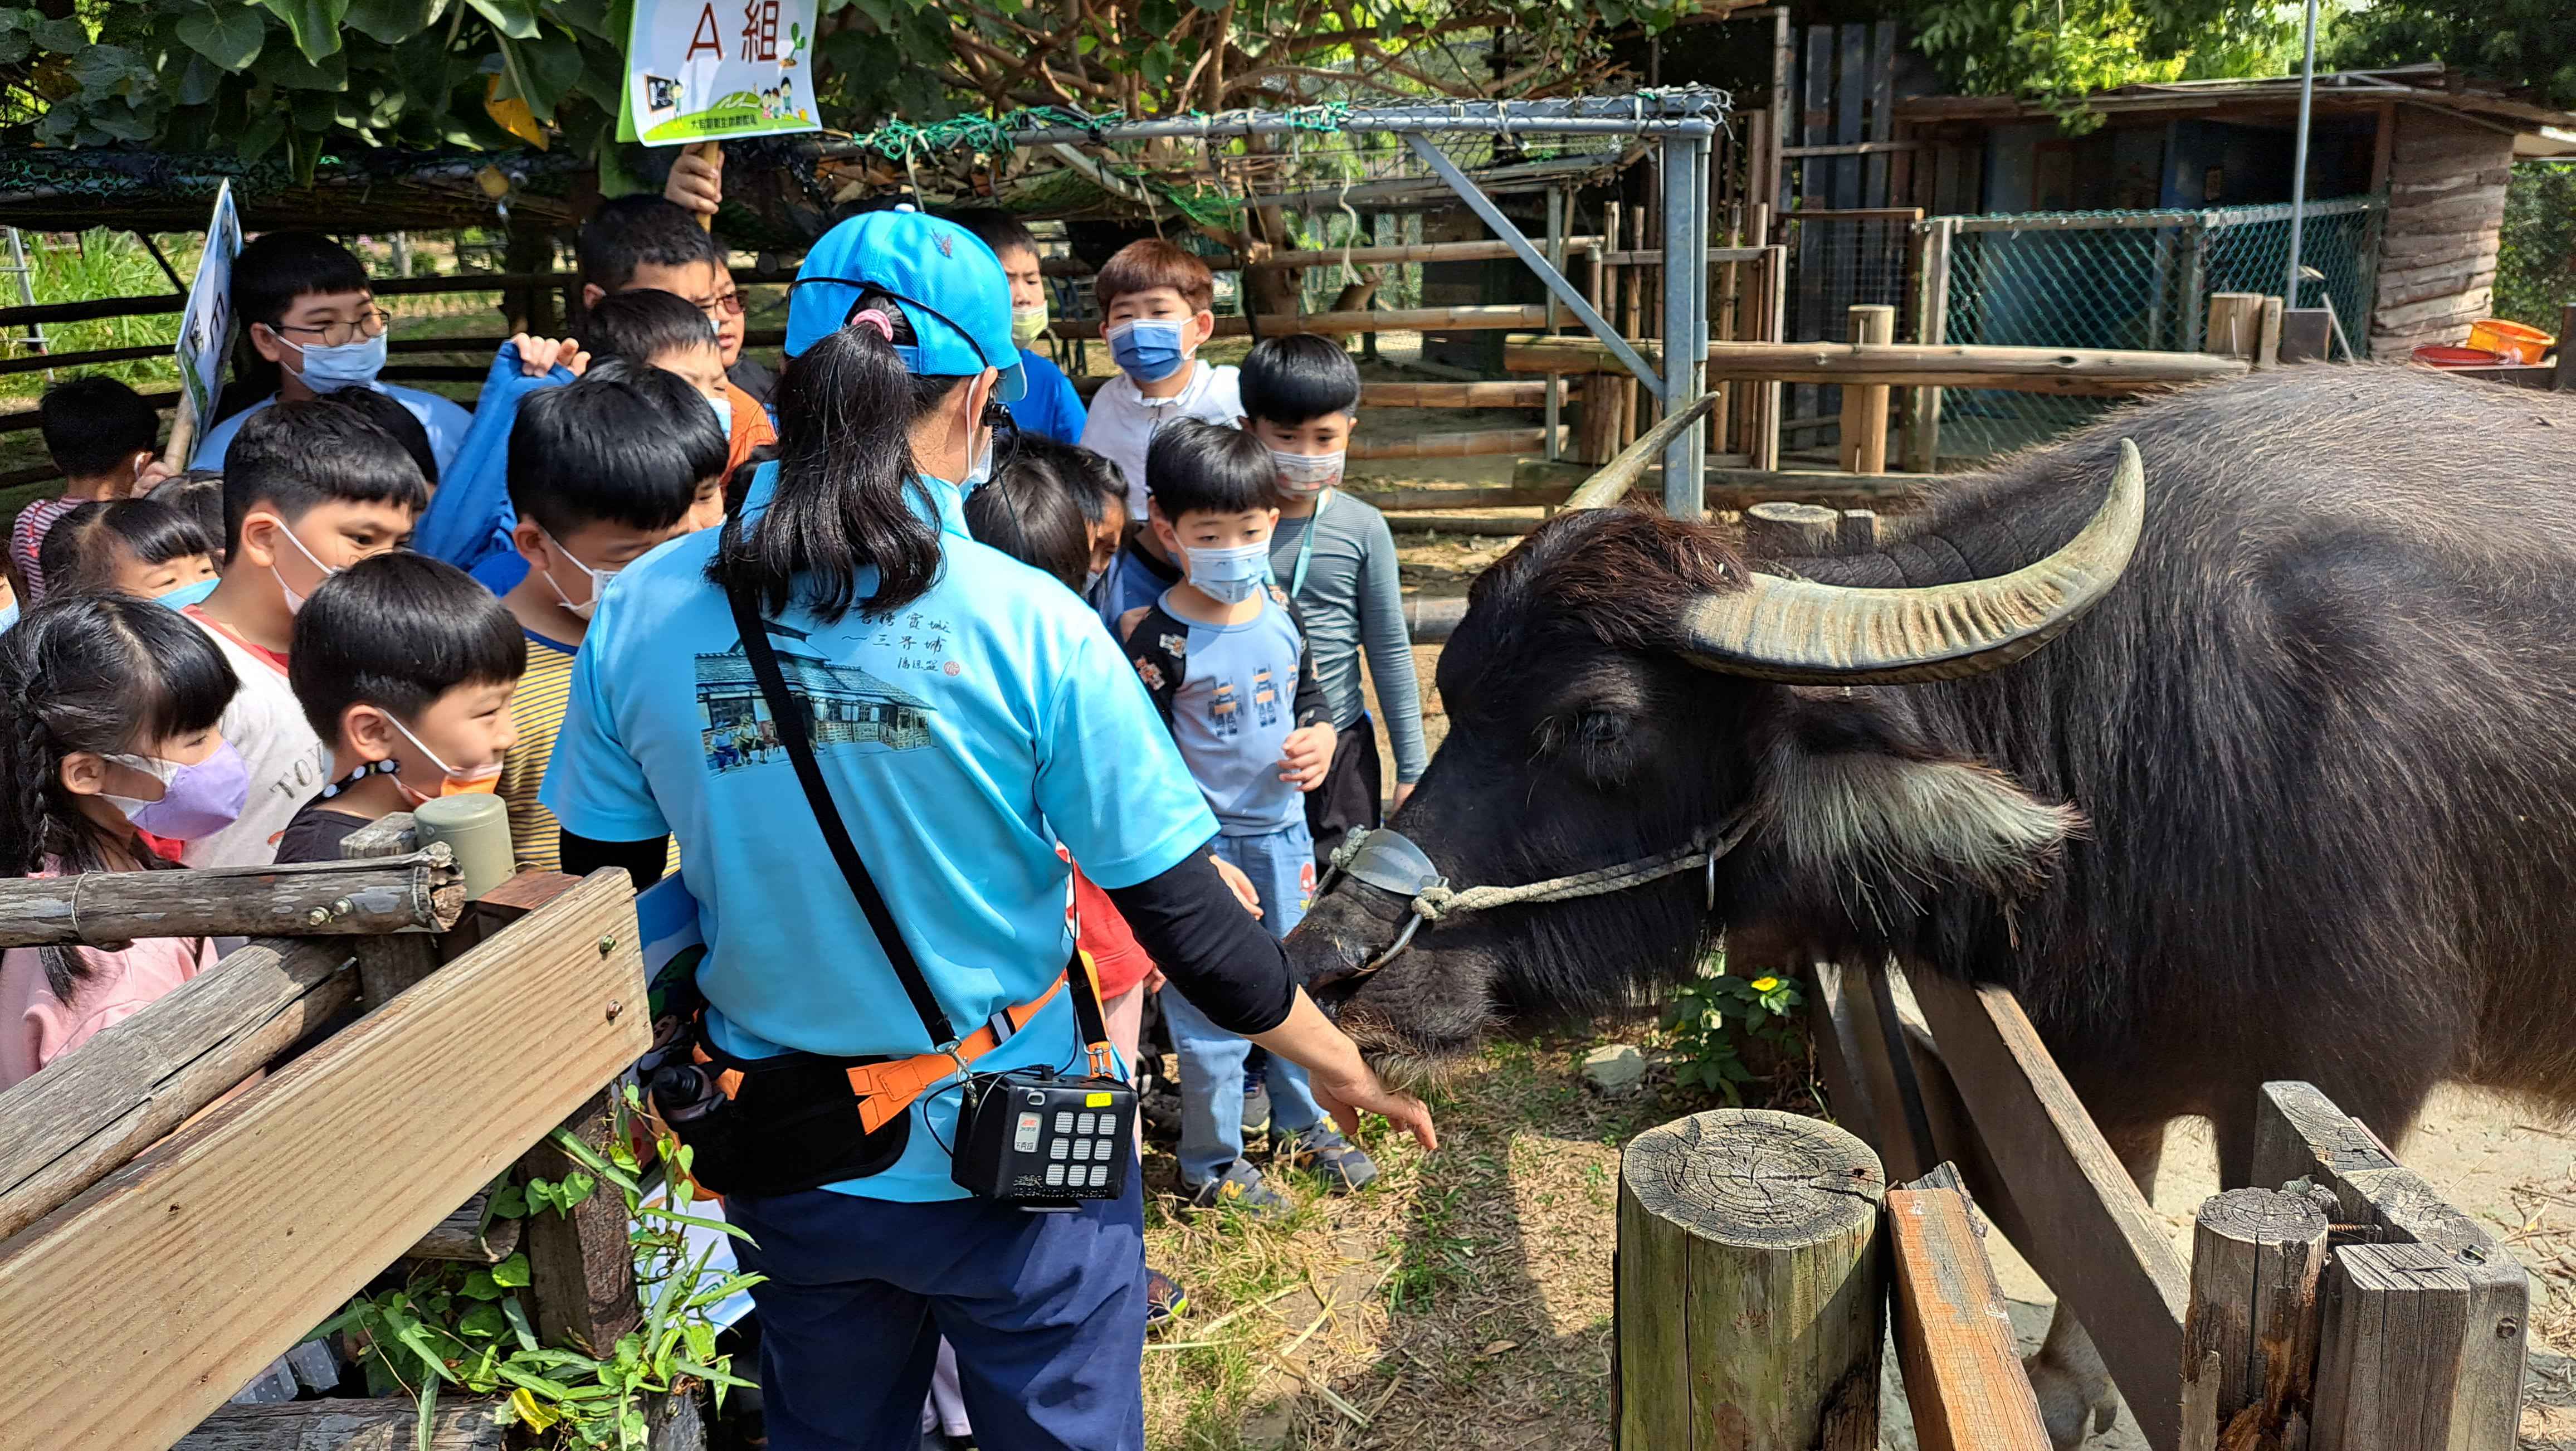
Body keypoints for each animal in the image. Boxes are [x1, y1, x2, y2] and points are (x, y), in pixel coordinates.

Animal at [1298, 366, 2576, 1443]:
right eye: (1454, 683)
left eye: (1597, 722)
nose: (1332, 958)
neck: (2131, 736)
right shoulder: (2091, 1061)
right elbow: (2097, 1213)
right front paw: (2062, 1386)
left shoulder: (2349, 1083)